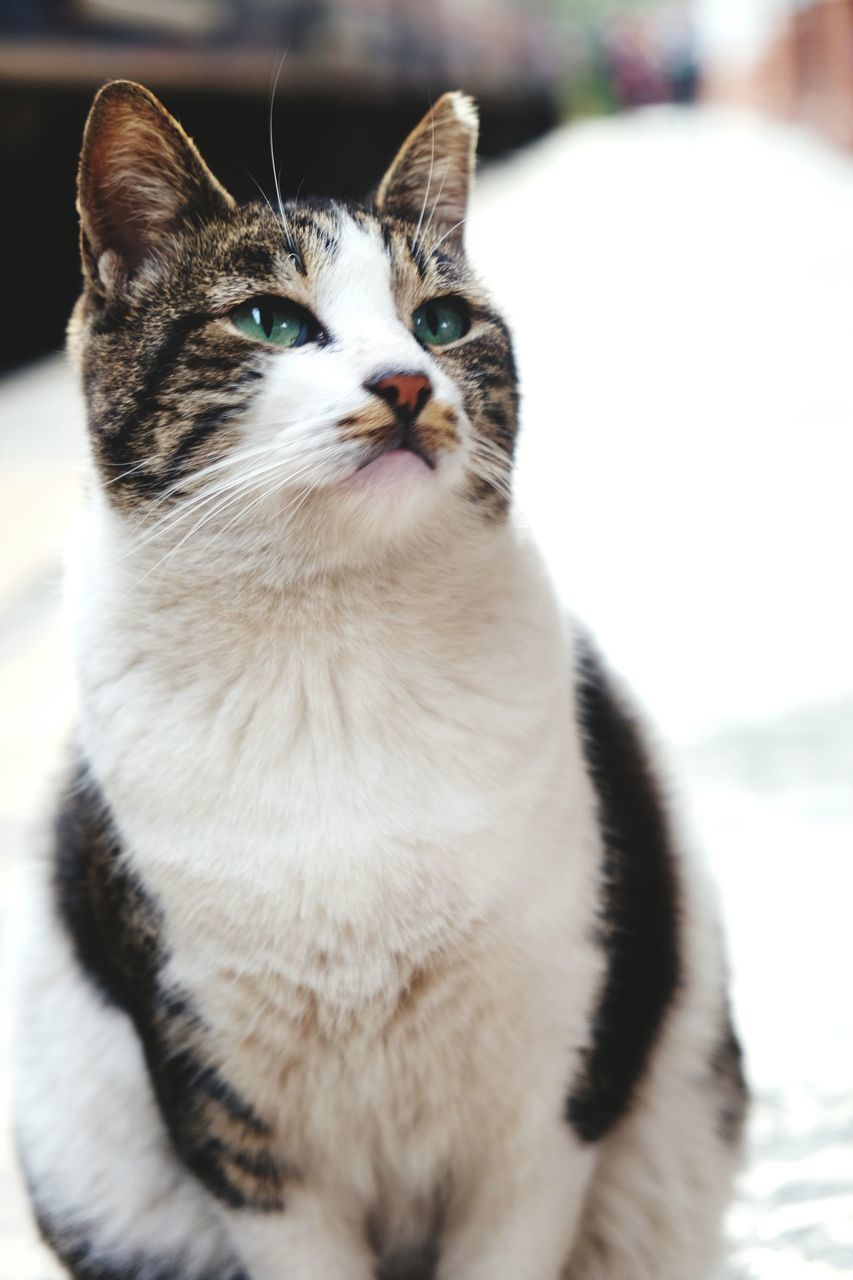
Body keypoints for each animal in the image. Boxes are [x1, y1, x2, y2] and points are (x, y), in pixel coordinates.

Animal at [13, 82, 742, 1280]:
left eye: (441, 322)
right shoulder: (241, 1131)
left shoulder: (545, 1104)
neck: (332, 644)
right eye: (269, 320)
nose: (407, 380)